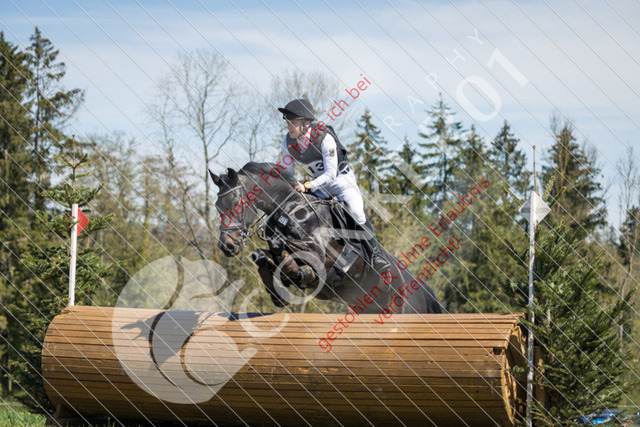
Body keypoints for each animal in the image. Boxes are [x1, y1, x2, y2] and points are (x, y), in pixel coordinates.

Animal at [210, 162, 443, 314]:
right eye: (217, 206)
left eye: (236, 203)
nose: (226, 245)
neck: (290, 210)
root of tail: (423, 289)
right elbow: (261, 255)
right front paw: (279, 295)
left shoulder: (321, 254)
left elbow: (285, 248)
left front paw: (300, 272)